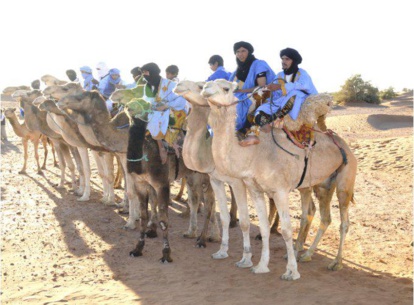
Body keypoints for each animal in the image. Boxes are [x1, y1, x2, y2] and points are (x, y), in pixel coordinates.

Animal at [202, 79, 358, 280]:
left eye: (226, 88)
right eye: (207, 83)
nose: (205, 89)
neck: (253, 154)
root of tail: (345, 146)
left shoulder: (280, 191)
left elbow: (285, 230)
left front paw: (291, 272)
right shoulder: (255, 189)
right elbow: (263, 228)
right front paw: (261, 266)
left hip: (346, 179)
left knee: (344, 221)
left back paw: (336, 262)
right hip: (322, 185)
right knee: (324, 218)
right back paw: (306, 255)